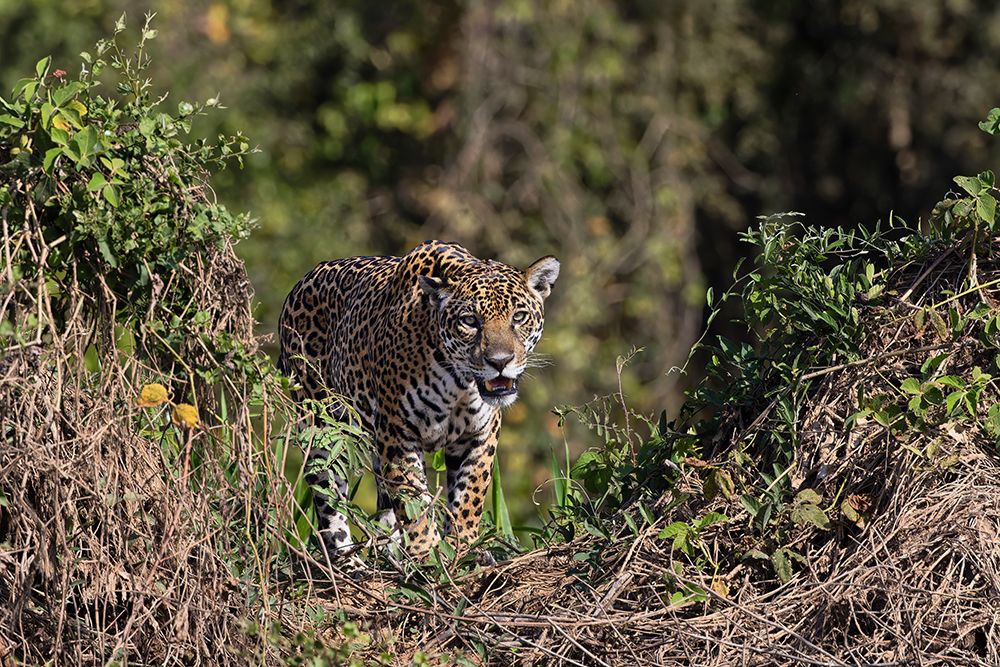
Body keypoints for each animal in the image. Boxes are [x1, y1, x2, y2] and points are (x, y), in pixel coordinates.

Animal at [277, 240, 560, 559]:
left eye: (519, 317)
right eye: (470, 321)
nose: (500, 361)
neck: (460, 383)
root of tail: (301, 282)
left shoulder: (480, 435)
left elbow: (469, 496)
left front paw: (462, 549)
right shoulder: (398, 433)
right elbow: (413, 501)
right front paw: (428, 552)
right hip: (321, 429)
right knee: (329, 503)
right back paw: (351, 562)